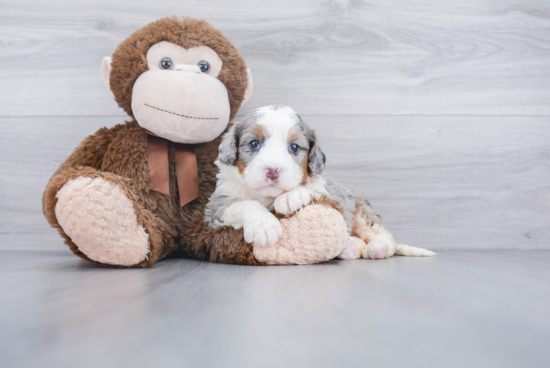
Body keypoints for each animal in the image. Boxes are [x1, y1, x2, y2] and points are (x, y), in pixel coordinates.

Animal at [205, 105, 438, 258]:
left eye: (294, 147)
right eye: (254, 143)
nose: (273, 171)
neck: (268, 197)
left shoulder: (332, 194)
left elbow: (313, 189)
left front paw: (290, 198)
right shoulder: (216, 207)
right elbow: (245, 204)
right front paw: (264, 224)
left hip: (362, 211)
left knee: (382, 236)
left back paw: (377, 248)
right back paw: (349, 248)